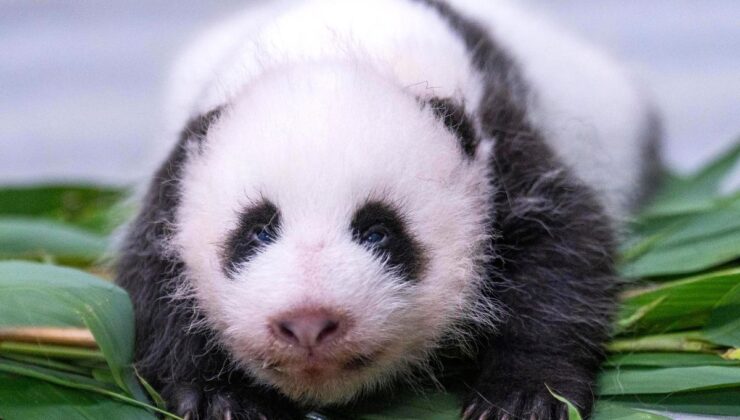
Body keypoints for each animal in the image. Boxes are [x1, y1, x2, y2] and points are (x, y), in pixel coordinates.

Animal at [116, 0, 661, 419]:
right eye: (257, 232)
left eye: (378, 231)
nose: (308, 323)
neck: (339, 45)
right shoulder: (177, 176)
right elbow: (152, 284)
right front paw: (218, 398)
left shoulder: (500, 149)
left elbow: (561, 250)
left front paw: (524, 397)